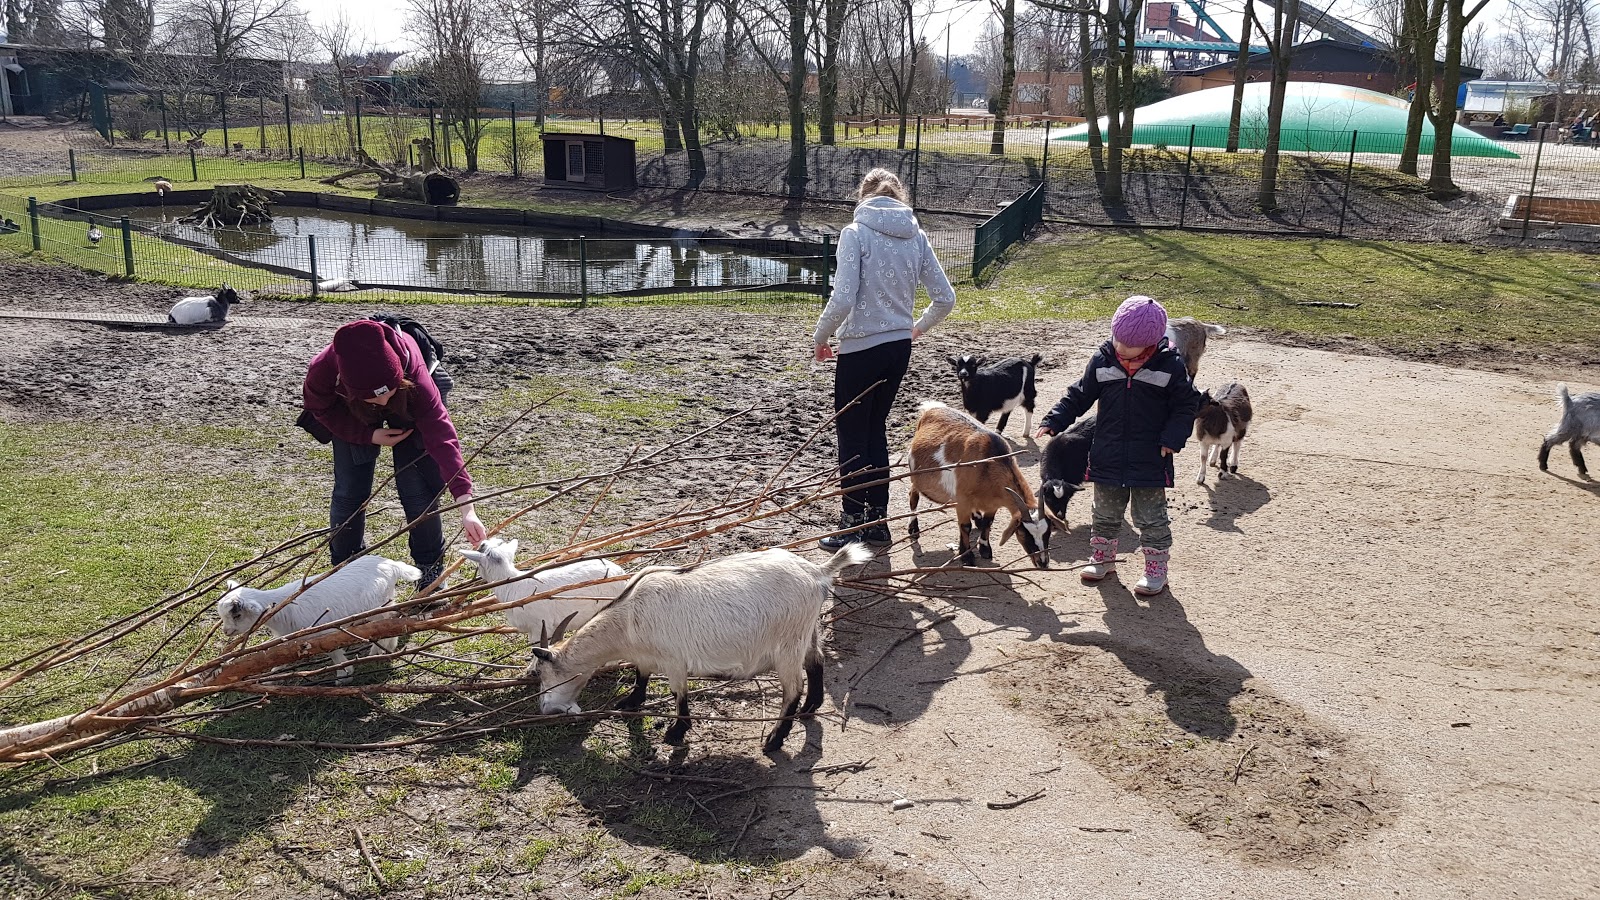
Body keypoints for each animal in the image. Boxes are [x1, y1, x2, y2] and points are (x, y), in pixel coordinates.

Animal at [215, 554, 420, 684]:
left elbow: (334, 653)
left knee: (389, 623)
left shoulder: (322, 632)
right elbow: (276, 653)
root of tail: (391, 565)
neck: (283, 609)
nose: (226, 631)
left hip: (379, 605)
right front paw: (273, 673)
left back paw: (380, 651)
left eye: (237, 615)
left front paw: (344, 675)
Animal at [459, 537, 628, 670]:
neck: (511, 584)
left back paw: (610, 663)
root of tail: (623, 575)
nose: (480, 542)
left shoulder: (538, 625)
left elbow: (537, 646)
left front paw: (531, 669)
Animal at [529, 544, 873, 753]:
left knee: (793, 688)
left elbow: (678, 694)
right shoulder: (646, 656)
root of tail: (816, 572)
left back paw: (775, 739)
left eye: (543, 676)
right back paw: (810, 707)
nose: (545, 709)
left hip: (787, 643)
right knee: (816, 662)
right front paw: (631, 702)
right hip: (807, 630)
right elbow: (641, 676)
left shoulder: (674, 659)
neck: (627, 620)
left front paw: (676, 732)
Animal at [906, 401, 1054, 568]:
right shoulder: (962, 501)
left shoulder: (993, 503)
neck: (988, 466)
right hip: (915, 475)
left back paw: (976, 516)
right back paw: (913, 528)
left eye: (1048, 532)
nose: (1043, 562)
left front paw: (984, 548)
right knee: (913, 496)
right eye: (1023, 533)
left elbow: (987, 523)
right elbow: (965, 527)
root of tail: (932, 408)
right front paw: (966, 556)